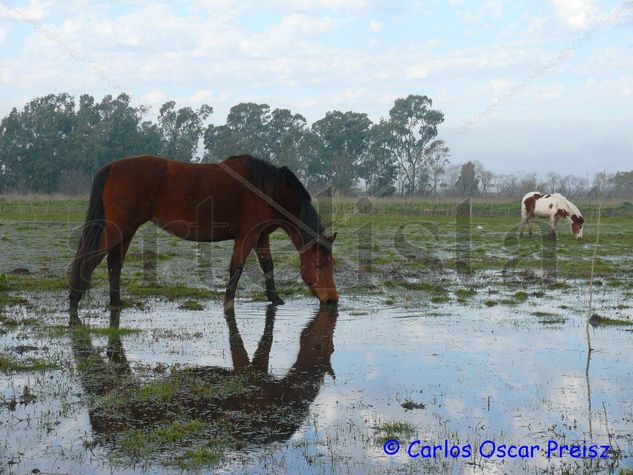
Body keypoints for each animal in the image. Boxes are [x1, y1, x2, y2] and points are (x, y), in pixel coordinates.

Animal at [68, 156, 340, 310]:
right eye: (318, 264)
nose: (332, 299)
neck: (268, 189)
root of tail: (111, 167)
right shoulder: (247, 235)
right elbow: (237, 267)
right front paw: (228, 303)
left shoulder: (261, 235)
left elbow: (268, 266)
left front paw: (275, 300)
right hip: (119, 228)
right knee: (89, 259)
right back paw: (74, 300)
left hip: (126, 230)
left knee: (114, 264)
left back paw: (116, 303)